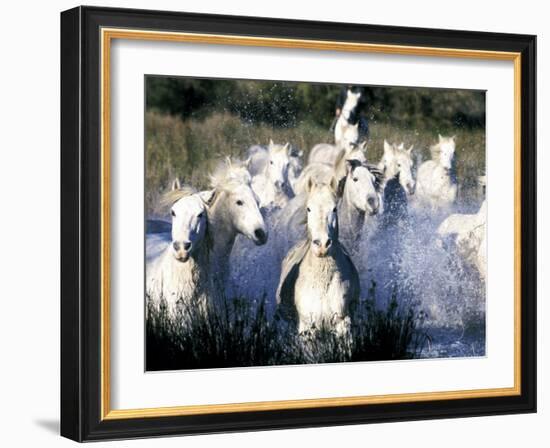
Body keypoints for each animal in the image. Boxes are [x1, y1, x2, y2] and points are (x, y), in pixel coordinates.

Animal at [276, 179, 362, 336]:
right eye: (309, 208)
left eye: (334, 209)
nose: (322, 244)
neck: (322, 281)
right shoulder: (307, 326)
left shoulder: (342, 322)